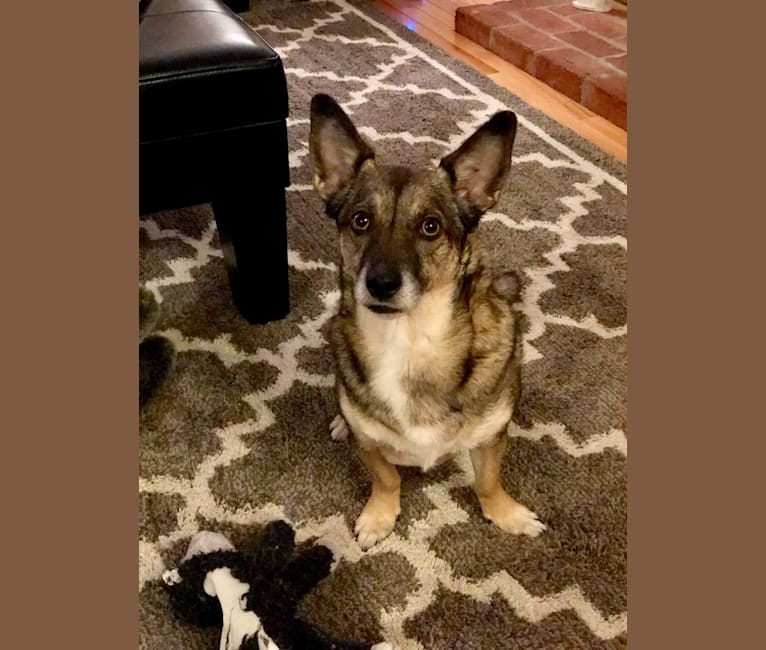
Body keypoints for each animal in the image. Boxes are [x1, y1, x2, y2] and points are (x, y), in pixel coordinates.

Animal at [308, 92, 544, 548]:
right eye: (361, 220)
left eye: (431, 226)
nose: (381, 284)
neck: (409, 339)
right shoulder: (371, 446)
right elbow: (386, 478)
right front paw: (379, 517)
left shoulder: (491, 436)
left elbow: (487, 480)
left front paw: (506, 514)